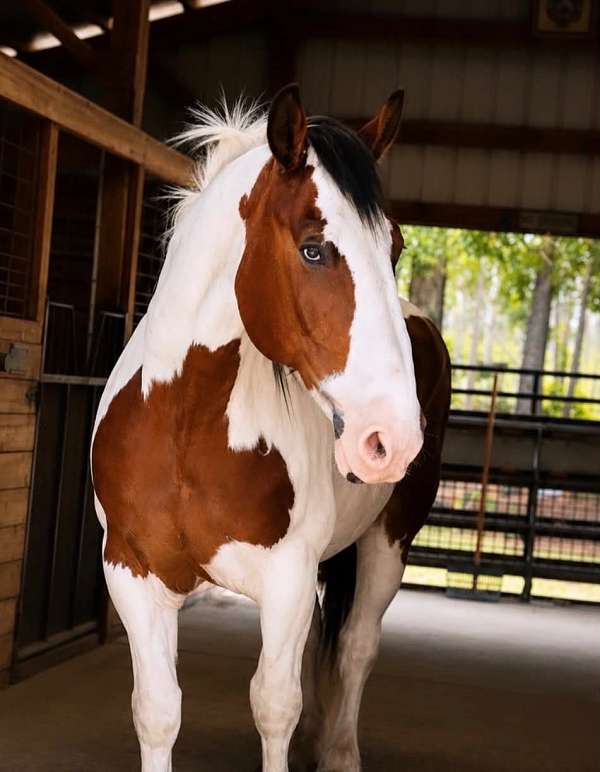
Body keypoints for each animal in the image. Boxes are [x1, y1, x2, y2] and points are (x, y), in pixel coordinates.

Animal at [91, 84, 450, 772]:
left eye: (394, 247)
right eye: (314, 247)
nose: (394, 438)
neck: (186, 423)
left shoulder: (287, 578)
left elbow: (273, 706)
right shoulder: (132, 572)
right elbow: (157, 710)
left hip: (388, 542)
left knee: (357, 646)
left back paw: (338, 751)